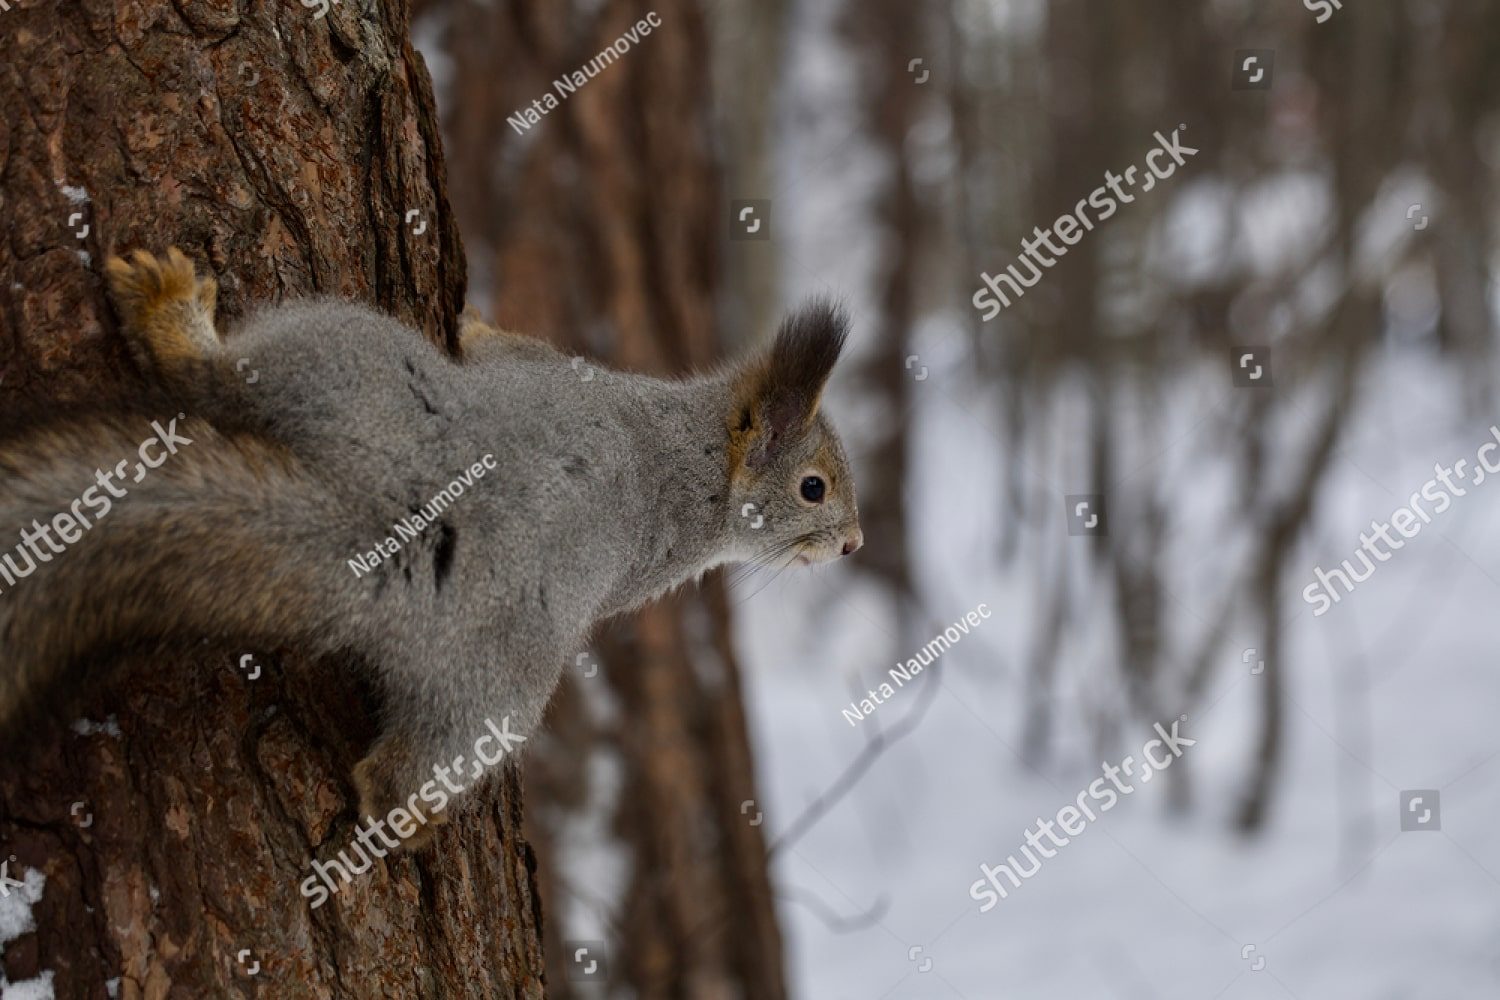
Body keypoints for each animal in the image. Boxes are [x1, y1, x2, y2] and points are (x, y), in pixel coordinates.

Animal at [0, 248, 862, 847]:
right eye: (814, 487)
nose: (853, 544)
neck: (700, 459)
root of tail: (382, 531)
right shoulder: (565, 373)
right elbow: (503, 346)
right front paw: (475, 314)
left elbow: (499, 349)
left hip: (337, 353)